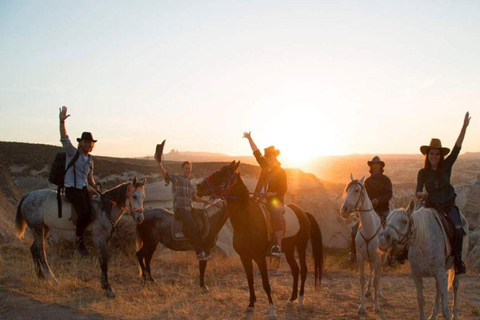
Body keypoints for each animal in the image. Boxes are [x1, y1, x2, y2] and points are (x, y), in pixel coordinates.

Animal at [15, 178, 145, 298]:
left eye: (143, 197)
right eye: (134, 196)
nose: (140, 218)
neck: (104, 209)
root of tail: (27, 196)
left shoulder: (104, 240)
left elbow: (104, 261)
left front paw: (104, 285)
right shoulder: (99, 239)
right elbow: (103, 263)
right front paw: (108, 288)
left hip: (43, 228)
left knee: (34, 249)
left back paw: (40, 276)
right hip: (37, 228)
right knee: (41, 253)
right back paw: (53, 280)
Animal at [195, 161, 322, 318]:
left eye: (222, 174)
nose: (198, 186)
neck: (247, 220)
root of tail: (303, 212)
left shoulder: (260, 258)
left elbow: (265, 283)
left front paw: (272, 310)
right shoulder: (244, 257)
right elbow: (250, 280)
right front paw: (251, 304)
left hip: (301, 246)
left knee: (303, 270)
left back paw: (300, 300)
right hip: (289, 250)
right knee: (295, 270)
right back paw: (291, 299)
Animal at [340, 174, 384, 314]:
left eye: (357, 190)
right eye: (347, 190)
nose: (344, 210)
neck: (369, 229)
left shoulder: (377, 258)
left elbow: (376, 279)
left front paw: (376, 306)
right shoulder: (360, 257)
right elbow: (362, 279)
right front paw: (362, 306)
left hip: (381, 259)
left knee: (378, 274)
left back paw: (378, 292)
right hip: (369, 259)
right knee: (371, 271)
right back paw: (368, 291)